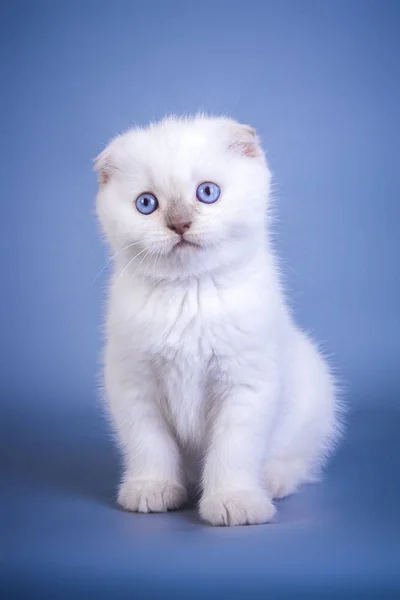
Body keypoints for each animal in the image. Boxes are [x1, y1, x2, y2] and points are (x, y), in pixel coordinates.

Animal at [94, 115, 340, 528]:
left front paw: (234, 500)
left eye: (207, 193)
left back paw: (272, 480)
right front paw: (152, 488)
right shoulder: (134, 384)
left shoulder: (247, 383)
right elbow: (149, 443)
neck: (188, 294)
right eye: (146, 204)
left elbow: (233, 448)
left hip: (316, 393)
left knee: (298, 459)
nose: (179, 223)